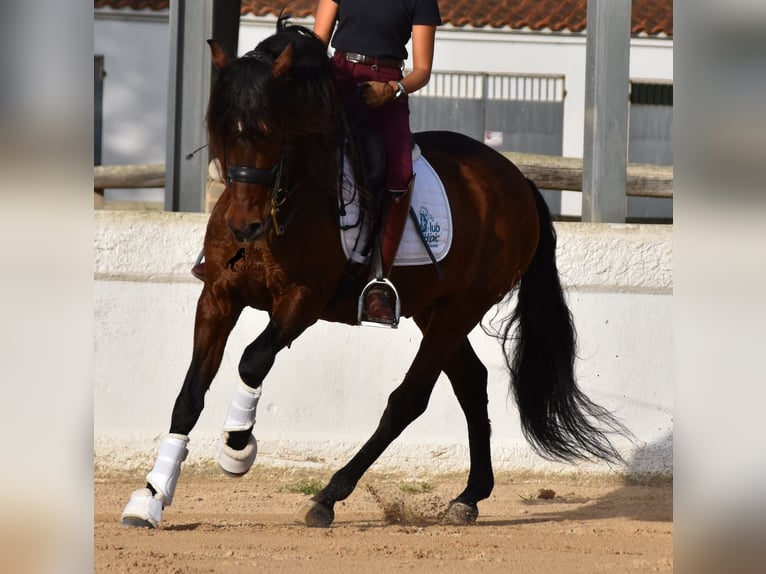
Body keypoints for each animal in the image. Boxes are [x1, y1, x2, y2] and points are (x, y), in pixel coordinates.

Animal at [121, 21, 632, 532]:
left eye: (274, 132)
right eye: (223, 131)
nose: (244, 227)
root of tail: (518, 181)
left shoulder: (303, 299)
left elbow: (252, 360)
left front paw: (237, 448)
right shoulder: (218, 296)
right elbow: (190, 393)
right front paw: (151, 497)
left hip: (461, 308)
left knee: (409, 399)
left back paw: (329, 495)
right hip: (434, 310)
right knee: (471, 383)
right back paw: (469, 496)